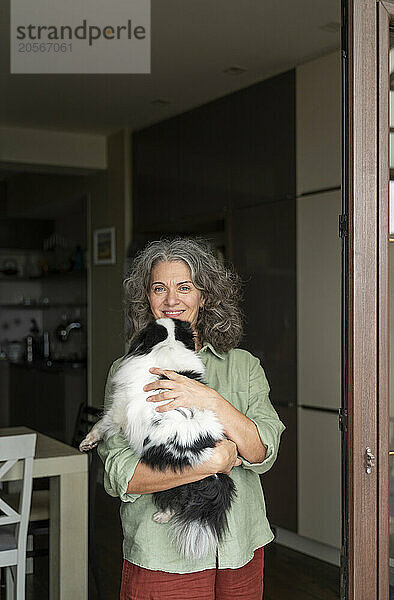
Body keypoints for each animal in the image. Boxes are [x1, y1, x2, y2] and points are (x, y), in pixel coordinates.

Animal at [78, 322, 235, 560]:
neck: (167, 346)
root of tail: (214, 474)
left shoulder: (117, 411)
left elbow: (100, 425)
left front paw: (87, 442)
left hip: (171, 479)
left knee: (174, 502)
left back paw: (161, 516)